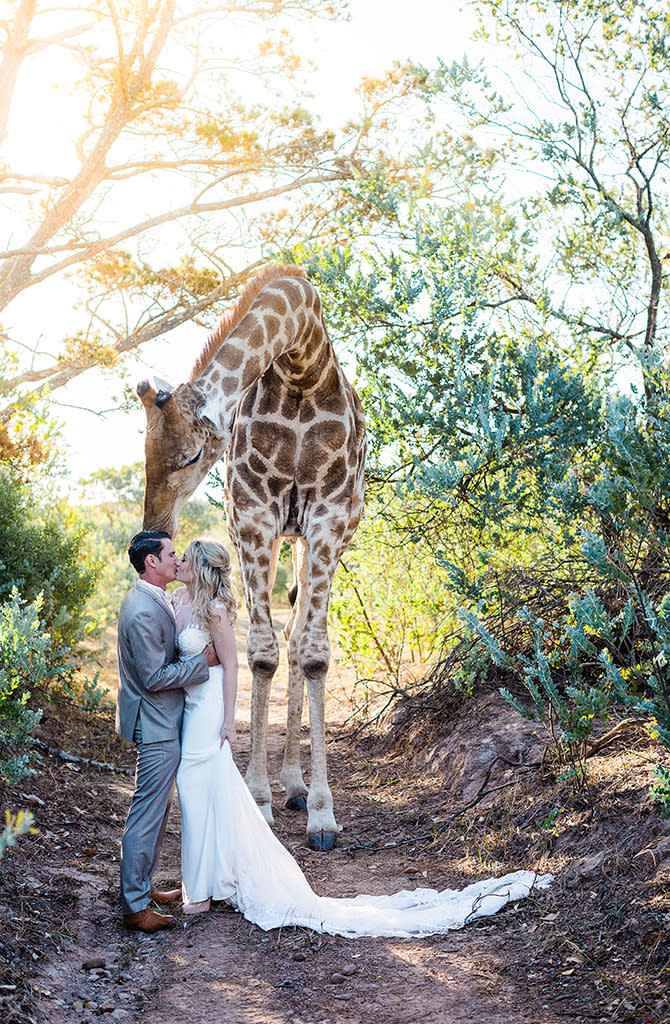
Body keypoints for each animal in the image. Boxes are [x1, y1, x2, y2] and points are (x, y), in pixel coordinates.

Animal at [138, 262, 366, 847]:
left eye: (192, 455)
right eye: (143, 453)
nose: (154, 530)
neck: (303, 366)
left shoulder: (329, 516)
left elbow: (313, 652)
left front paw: (324, 814)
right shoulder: (254, 514)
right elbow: (261, 652)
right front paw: (259, 800)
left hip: (314, 537)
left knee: (299, 636)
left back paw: (298, 786)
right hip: (279, 532)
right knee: (283, 637)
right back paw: (286, 785)